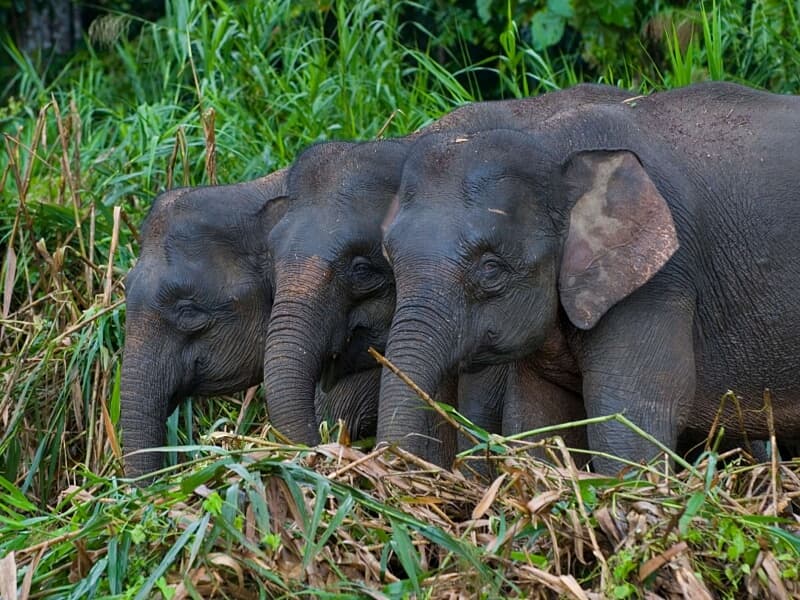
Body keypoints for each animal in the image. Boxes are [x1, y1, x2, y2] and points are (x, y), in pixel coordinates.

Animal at [378, 81, 800, 474]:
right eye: (389, 259)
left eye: (491, 269)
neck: (554, 147)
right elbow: (538, 418)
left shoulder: (661, 281)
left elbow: (632, 419)